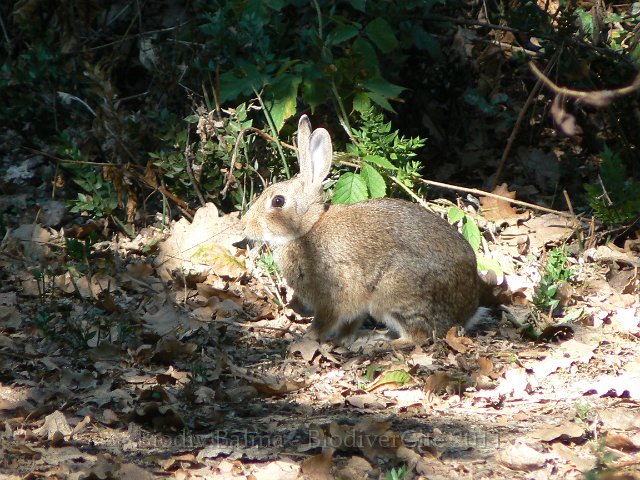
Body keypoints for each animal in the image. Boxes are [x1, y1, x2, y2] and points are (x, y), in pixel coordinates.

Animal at [240, 115, 481, 344]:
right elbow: (350, 323)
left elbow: (325, 321)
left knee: (419, 336)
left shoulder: (333, 295)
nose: (245, 226)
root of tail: (467, 311)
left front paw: (306, 338)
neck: (307, 229)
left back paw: (377, 343)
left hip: (393, 294)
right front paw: (342, 338)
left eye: (278, 201)